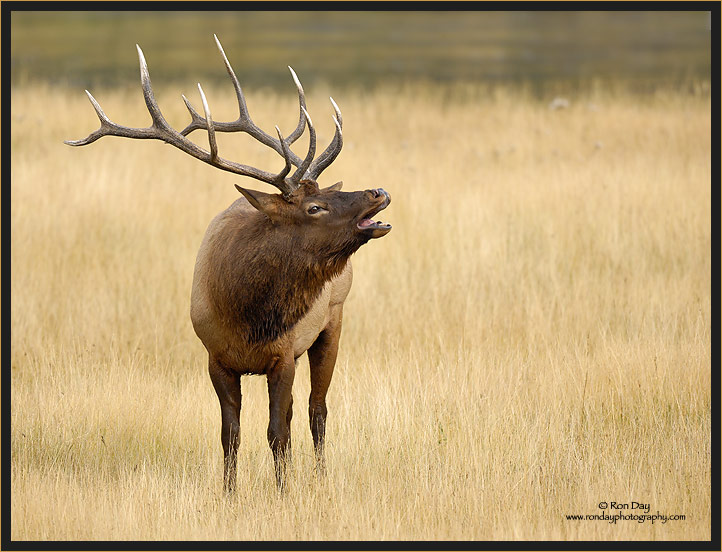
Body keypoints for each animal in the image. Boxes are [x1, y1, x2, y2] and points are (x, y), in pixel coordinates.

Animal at [67, 36, 390, 490]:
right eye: (316, 206)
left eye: (327, 191)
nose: (378, 191)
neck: (246, 315)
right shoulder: (215, 357)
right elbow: (230, 434)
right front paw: (229, 493)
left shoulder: (283, 354)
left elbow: (276, 432)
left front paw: (283, 492)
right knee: (302, 410)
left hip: (334, 321)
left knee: (318, 409)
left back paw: (321, 476)